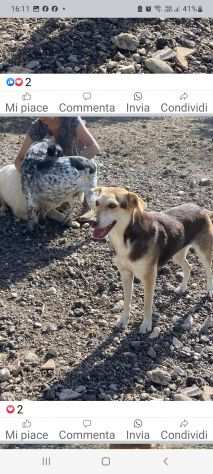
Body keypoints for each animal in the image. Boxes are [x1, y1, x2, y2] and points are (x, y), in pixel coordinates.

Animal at [80, 185, 213, 334]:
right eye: (96, 203)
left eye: (112, 205)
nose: (91, 222)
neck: (126, 239)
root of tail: (201, 208)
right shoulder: (125, 273)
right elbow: (127, 300)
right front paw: (123, 320)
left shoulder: (149, 276)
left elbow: (147, 304)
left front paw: (146, 324)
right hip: (176, 253)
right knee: (188, 267)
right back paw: (182, 288)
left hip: (203, 251)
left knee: (208, 270)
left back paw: (209, 291)